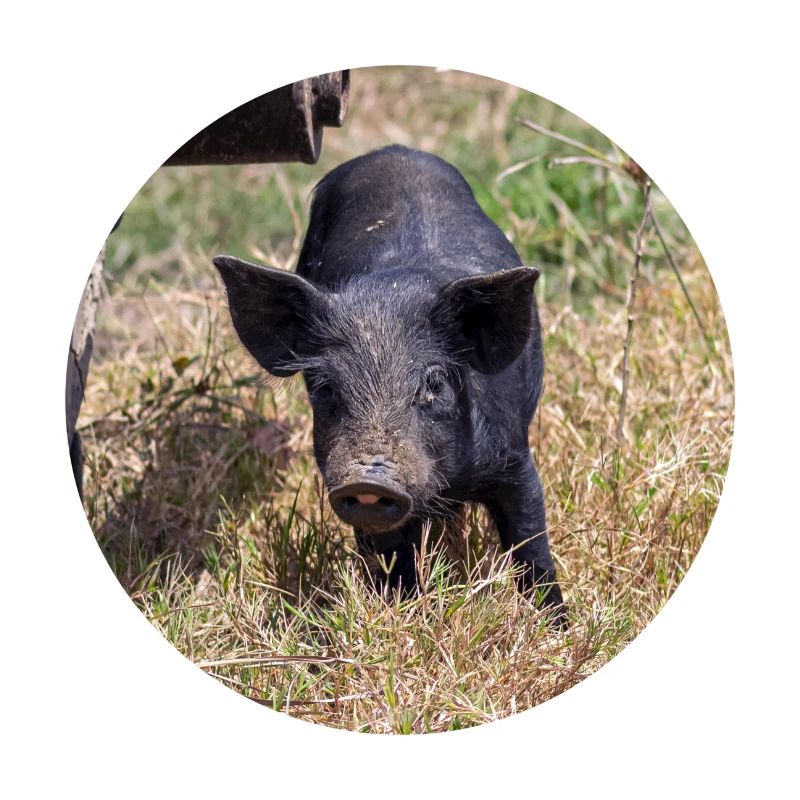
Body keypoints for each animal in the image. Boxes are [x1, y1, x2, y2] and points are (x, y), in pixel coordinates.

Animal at [214, 144, 565, 623]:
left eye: (433, 383)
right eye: (326, 388)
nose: (369, 479)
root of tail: (393, 151)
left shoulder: (514, 457)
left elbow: (532, 544)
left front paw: (558, 626)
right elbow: (392, 561)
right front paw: (405, 614)